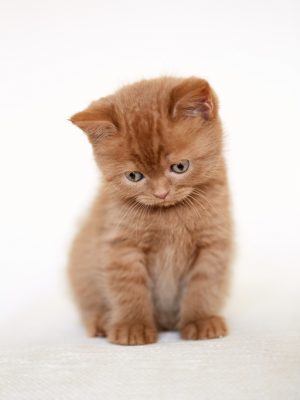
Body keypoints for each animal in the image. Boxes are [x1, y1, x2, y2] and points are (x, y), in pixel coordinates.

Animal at [69, 76, 233, 346]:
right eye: (134, 176)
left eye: (180, 167)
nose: (161, 193)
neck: (169, 217)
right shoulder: (121, 245)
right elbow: (129, 287)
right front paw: (132, 326)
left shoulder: (212, 242)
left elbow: (204, 284)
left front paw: (200, 320)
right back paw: (102, 321)